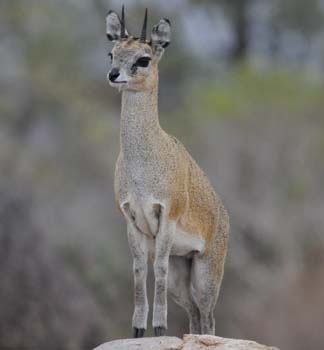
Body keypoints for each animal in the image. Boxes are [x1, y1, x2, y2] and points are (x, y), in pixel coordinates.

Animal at [105, 5, 229, 338]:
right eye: (112, 53)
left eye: (143, 58)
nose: (114, 75)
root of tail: (224, 217)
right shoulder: (131, 221)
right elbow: (138, 271)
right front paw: (138, 330)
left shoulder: (166, 219)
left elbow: (156, 268)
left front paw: (159, 327)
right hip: (181, 272)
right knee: (195, 315)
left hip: (206, 273)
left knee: (208, 317)